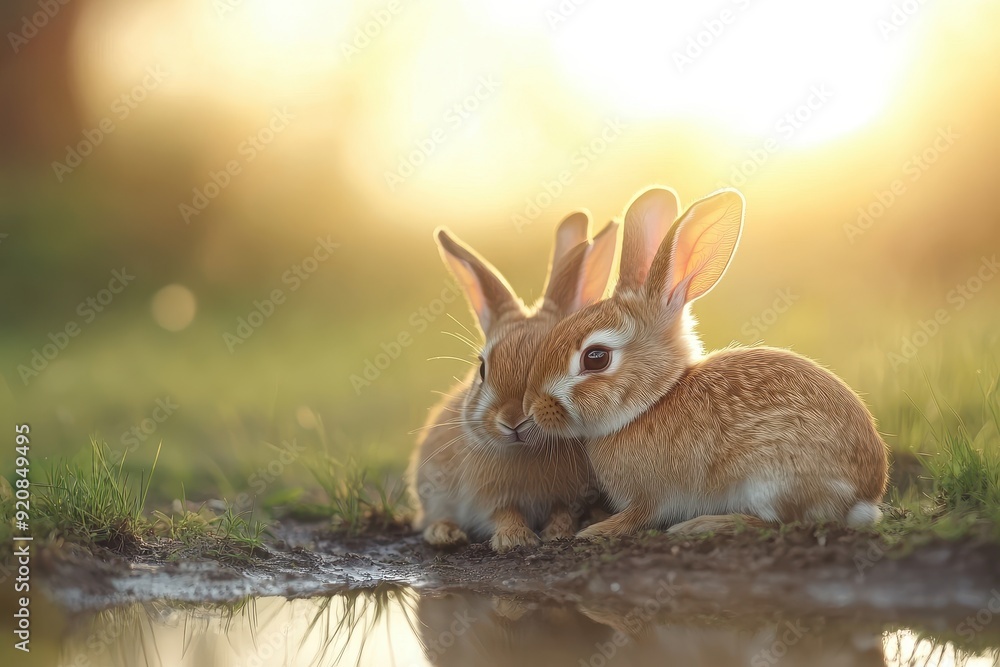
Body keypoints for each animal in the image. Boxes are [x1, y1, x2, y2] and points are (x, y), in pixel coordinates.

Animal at [408, 211, 619, 552]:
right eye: (482, 369)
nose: (512, 420)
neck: (527, 452)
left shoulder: (566, 497)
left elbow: (561, 511)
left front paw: (557, 534)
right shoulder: (489, 500)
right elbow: (505, 513)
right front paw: (514, 540)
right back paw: (445, 534)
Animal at [522, 186, 889, 539]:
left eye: (596, 358)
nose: (532, 407)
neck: (654, 402)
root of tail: (863, 498)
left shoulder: (653, 495)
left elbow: (639, 515)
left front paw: (595, 530)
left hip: (772, 478)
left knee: (780, 522)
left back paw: (700, 525)